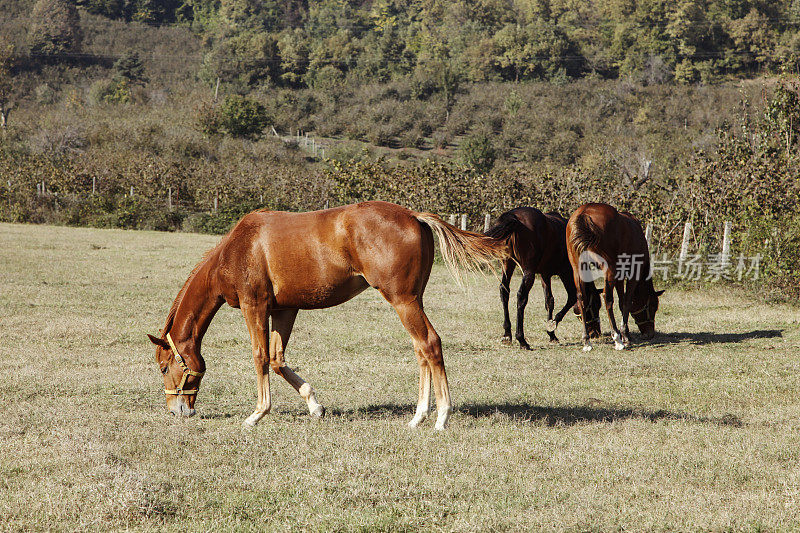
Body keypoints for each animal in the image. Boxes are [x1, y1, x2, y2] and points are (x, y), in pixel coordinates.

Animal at [148, 202, 510, 430]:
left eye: (165, 367)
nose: (178, 410)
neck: (236, 249)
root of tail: (413, 215)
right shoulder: (284, 309)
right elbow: (278, 360)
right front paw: (315, 406)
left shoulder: (256, 306)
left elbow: (260, 356)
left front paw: (257, 414)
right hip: (411, 301)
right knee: (421, 350)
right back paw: (418, 416)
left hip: (403, 301)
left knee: (430, 344)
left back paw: (441, 417)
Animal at [482, 206, 600, 348]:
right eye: (596, 305)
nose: (596, 333)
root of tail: (514, 217)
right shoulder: (566, 273)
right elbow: (571, 297)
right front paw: (552, 324)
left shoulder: (545, 274)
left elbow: (549, 301)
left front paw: (552, 334)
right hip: (528, 271)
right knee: (521, 297)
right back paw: (522, 339)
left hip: (507, 264)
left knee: (504, 291)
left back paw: (507, 335)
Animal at [564, 202, 664, 352]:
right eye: (653, 306)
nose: (650, 333)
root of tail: (584, 212)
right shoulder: (633, 272)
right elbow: (627, 301)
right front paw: (624, 335)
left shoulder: (620, 276)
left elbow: (622, 302)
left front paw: (626, 334)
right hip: (609, 269)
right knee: (607, 298)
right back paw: (617, 338)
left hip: (578, 268)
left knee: (582, 297)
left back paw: (587, 341)